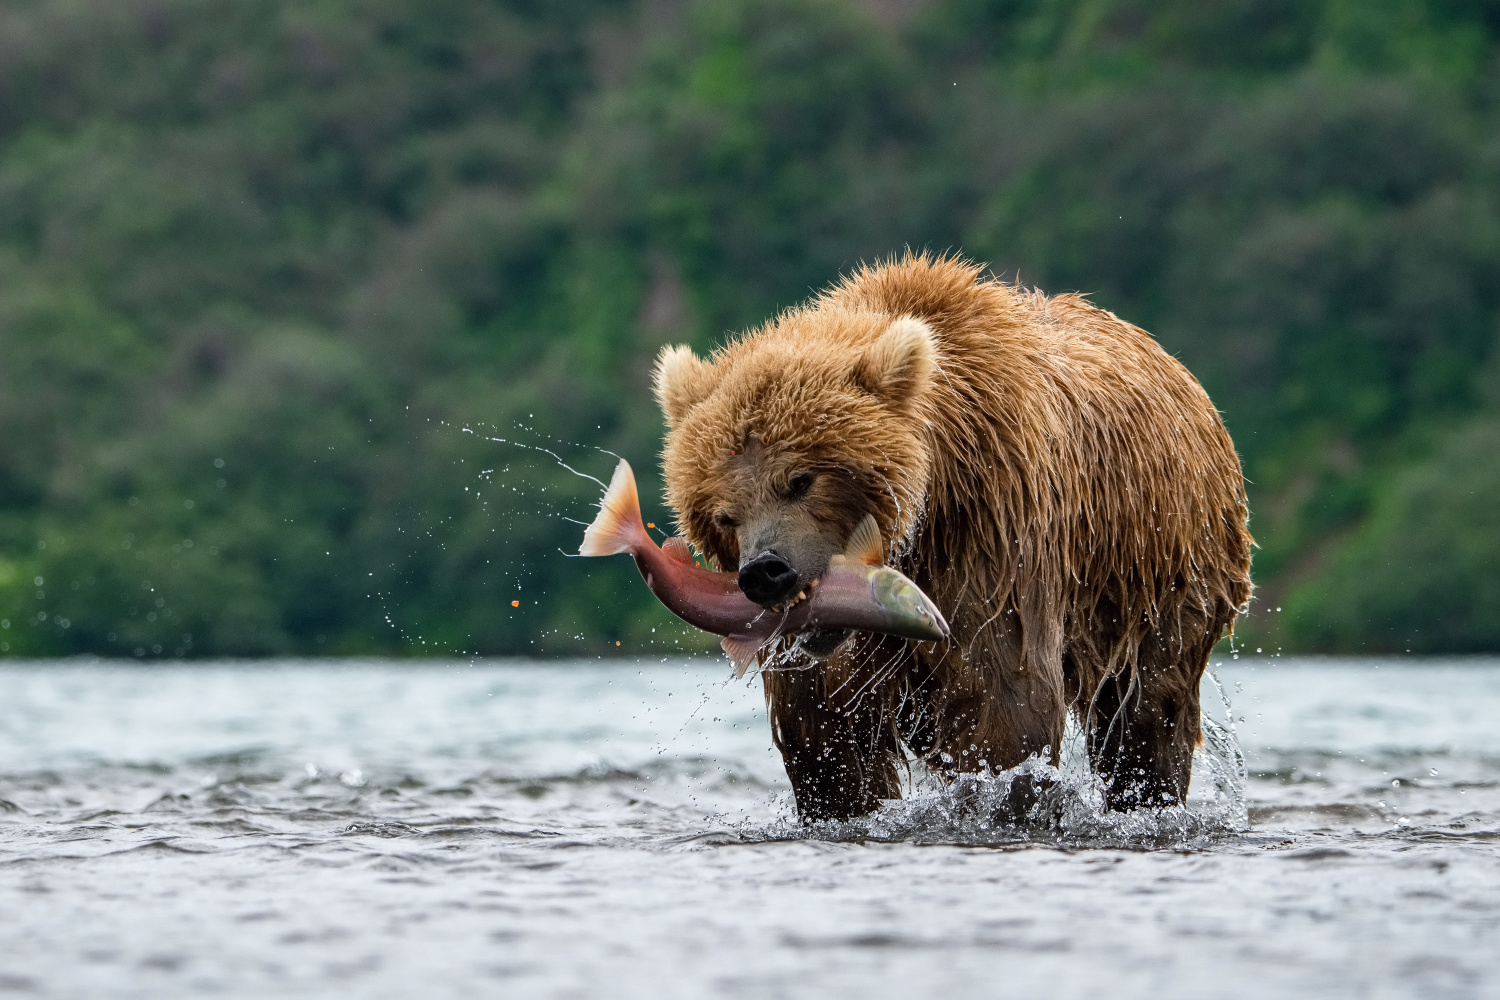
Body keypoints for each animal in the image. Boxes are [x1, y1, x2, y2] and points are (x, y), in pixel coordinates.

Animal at [657, 254, 1254, 815]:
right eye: (723, 513)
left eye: (801, 479)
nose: (767, 569)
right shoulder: (835, 653)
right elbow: (826, 736)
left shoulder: (993, 535)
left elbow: (1004, 705)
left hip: (1160, 574)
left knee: (1147, 717)